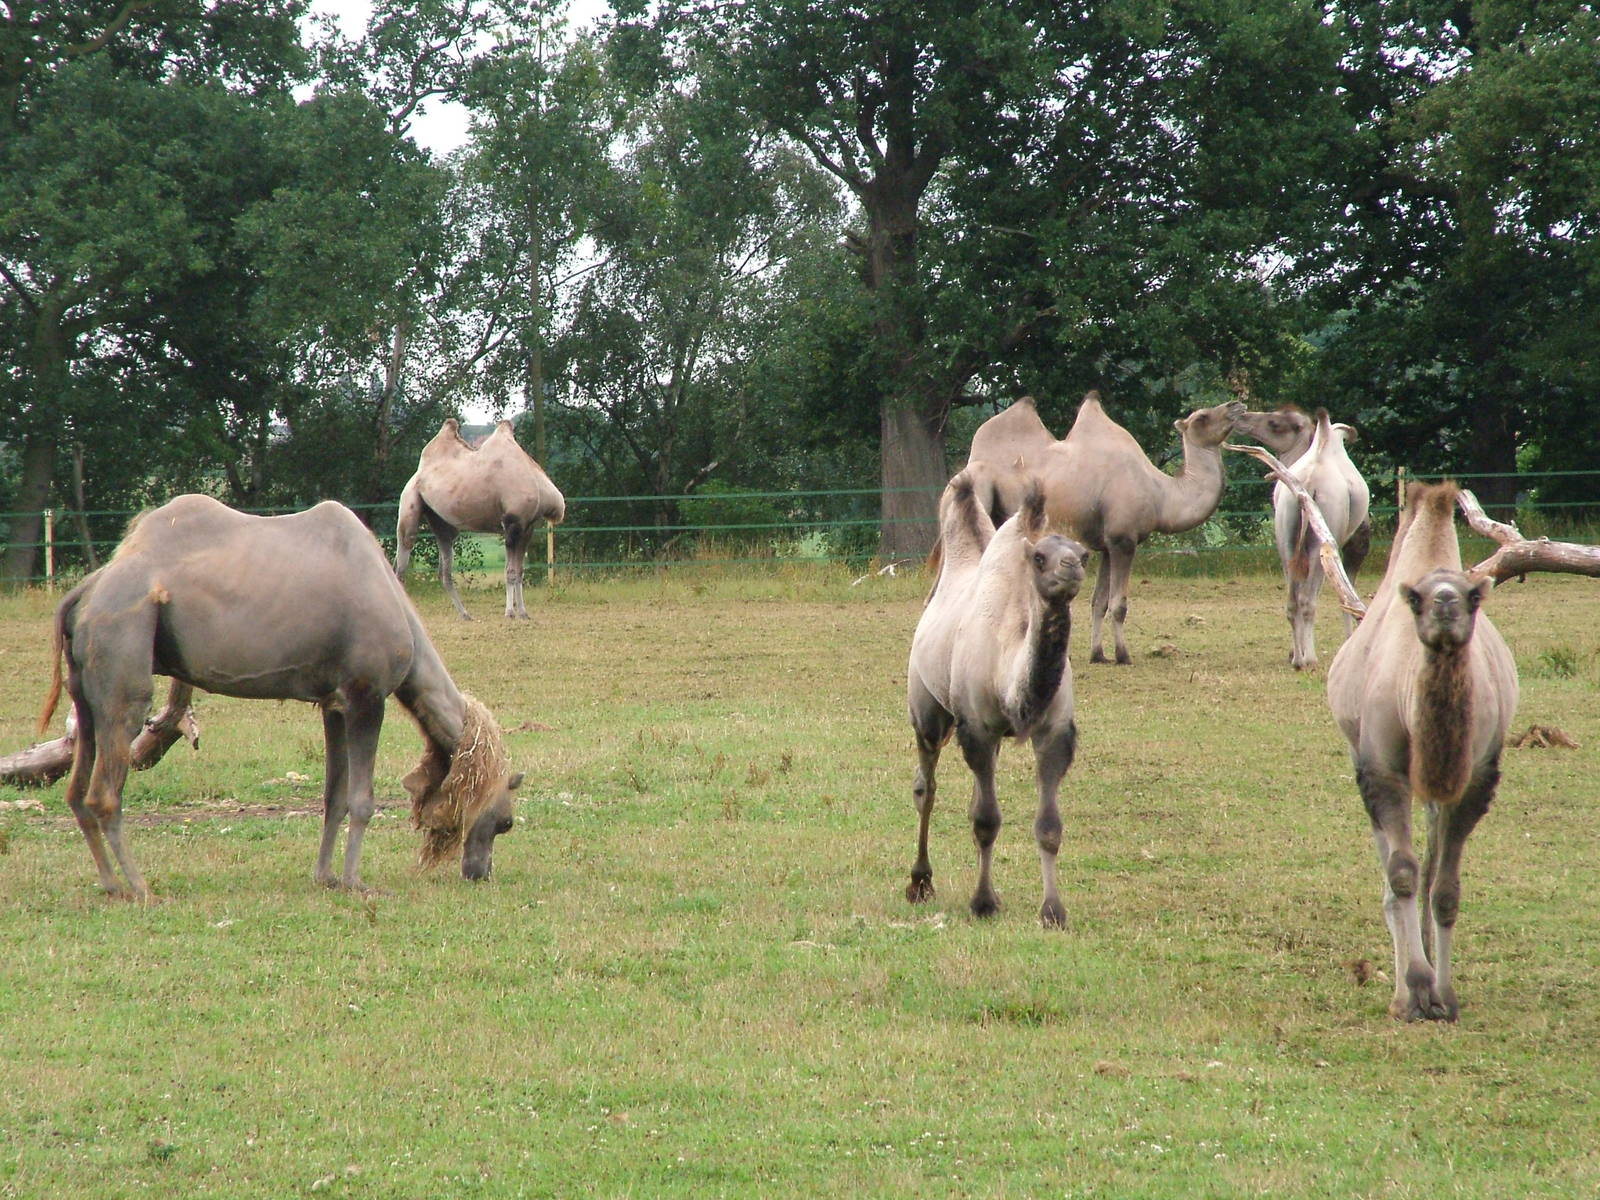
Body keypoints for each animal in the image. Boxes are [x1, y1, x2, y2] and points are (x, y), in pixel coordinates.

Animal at [37, 494, 524, 902]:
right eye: (505, 821)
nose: (478, 872)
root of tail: (84, 594)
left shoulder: (334, 703)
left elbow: (334, 796)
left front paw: (325, 877)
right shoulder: (367, 696)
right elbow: (363, 800)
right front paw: (356, 882)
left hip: (86, 693)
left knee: (77, 791)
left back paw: (111, 884)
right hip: (125, 663)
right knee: (105, 791)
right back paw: (141, 889)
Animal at [395, 418, 566, 620]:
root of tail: (418, 473)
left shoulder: (527, 527)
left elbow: (520, 571)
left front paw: (524, 613)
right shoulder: (512, 523)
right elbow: (510, 571)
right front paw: (509, 612)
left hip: (441, 522)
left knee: (444, 571)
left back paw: (465, 614)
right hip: (409, 502)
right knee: (402, 560)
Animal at [906, 472, 1088, 926]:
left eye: (1084, 553)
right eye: (1040, 557)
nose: (1072, 567)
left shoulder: (1055, 731)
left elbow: (1049, 825)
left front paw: (1052, 911)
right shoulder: (978, 728)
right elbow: (986, 820)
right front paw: (983, 903)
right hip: (926, 710)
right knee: (926, 788)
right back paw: (919, 882)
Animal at [1272, 409, 1371, 670]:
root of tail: (1308, 484)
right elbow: (1345, 593)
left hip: (1285, 536)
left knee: (1293, 599)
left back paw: (1298, 659)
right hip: (1323, 537)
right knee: (1308, 599)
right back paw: (1310, 659)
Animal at [1326, 482, 1518, 1021]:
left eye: (1473, 596)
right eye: (1416, 600)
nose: (1447, 604)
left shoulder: (1477, 777)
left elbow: (1446, 889)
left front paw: (1445, 996)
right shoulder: (1381, 769)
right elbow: (1403, 876)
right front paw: (1413, 991)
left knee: (1431, 864)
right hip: (1363, 761)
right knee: (1396, 870)